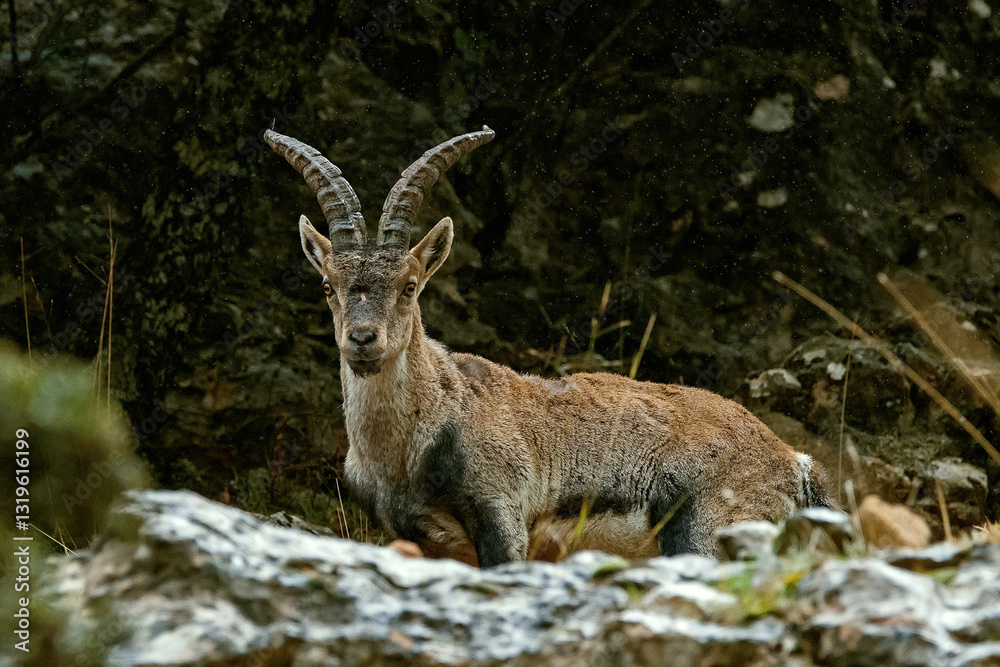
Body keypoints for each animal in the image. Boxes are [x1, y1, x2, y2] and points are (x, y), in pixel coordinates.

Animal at [263, 126, 832, 566]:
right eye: (328, 286)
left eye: (409, 285)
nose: (363, 340)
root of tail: (795, 462)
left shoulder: (502, 518)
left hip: (708, 531)